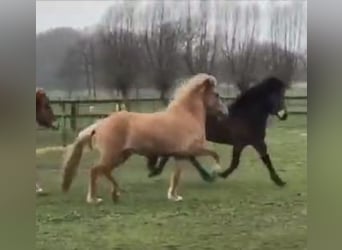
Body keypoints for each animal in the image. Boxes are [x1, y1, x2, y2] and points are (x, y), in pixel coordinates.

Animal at [62, 73, 227, 204]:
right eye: (217, 94)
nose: (225, 112)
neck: (186, 116)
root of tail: (101, 124)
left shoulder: (181, 155)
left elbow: (176, 176)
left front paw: (174, 196)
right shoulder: (193, 149)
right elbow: (214, 154)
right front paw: (216, 171)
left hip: (121, 156)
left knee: (103, 171)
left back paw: (112, 194)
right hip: (112, 155)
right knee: (96, 170)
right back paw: (97, 198)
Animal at [148, 77, 288, 187]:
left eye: (283, 95)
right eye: (274, 96)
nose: (284, 115)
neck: (245, 116)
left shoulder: (256, 142)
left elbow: (264, 159)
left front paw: (279, 181)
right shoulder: (241, 143)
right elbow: (236, 163)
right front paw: (221, 174)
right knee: (185, 155)